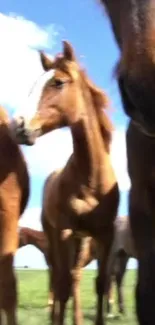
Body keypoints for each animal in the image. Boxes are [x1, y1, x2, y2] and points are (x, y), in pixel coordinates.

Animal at [12, 40, 119, 324]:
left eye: (58, 82)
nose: (18, 126)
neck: (92, 179)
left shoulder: (105, 234)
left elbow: (101, 284)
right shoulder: (63, 232)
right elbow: (61, 288)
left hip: (81, 241)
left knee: (72, 278)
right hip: (57, 236)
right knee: (62, 280)